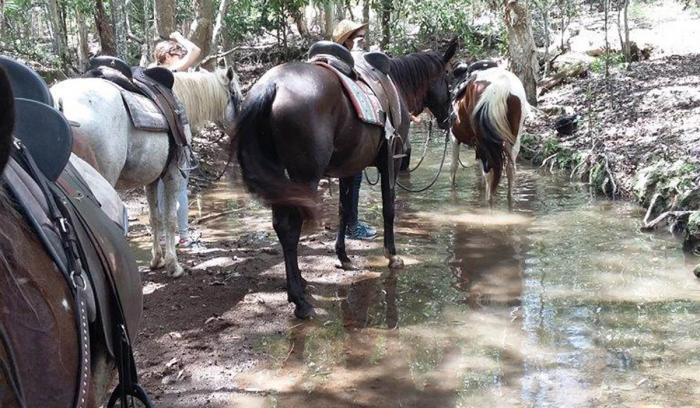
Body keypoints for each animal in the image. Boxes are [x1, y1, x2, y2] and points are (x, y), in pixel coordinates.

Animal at [49, 67, 241, 278]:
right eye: (238, 99)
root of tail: (61, 101)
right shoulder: (173, 174)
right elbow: (170, 218)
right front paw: (173, 265)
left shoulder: (151, 179)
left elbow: (154, 217)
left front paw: (157, 260)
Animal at [232, 42, 456, 322]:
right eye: (449, 76)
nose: (450, 118)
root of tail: (271, 86)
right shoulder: (391, 161)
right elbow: (389, 209)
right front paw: (392, 256)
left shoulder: (350, 168)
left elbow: (344, 210)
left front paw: (344, 257)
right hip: (305, 176)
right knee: (290, 227)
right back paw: (300, 301)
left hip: (280, 177)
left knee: (281, 225)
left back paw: (300, 283)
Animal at [452, 67, 528, 207]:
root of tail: (503, 85)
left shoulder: (454, 137)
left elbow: (453, 167)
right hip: (514, 139)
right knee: (509, 170)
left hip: (484, 142)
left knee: (490, 172)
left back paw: (489, 201)